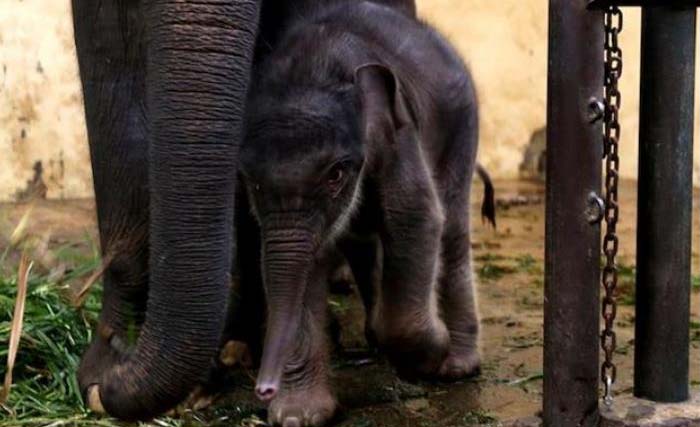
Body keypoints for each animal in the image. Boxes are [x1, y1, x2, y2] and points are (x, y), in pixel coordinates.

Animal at [238, 1, 484, 426]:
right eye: (251, 182)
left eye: (336, 174)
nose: (263, 389)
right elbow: (303, 259)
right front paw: (298, 417)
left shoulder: (399, 133)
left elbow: (416, 217)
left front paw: (432, 352)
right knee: (362, 240)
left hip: (461, 125)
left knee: (451, 226)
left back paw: (457, 367)